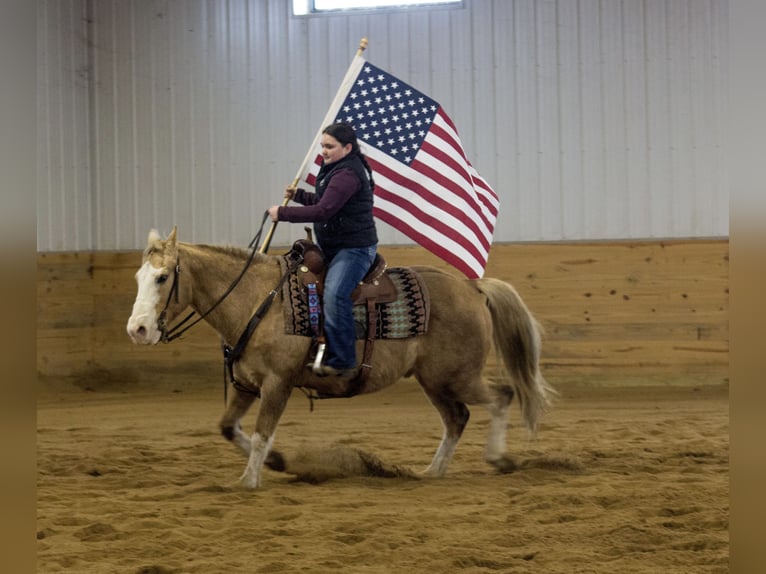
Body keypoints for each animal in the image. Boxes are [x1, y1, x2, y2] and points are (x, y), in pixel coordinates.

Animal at [129, 227, 556, 488]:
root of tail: (472, 286)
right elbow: (228, 428)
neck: (258, 300)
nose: (138, 329)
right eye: (138, 277)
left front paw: (249, 481)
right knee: (457, 418)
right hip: (434, 380)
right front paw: (277, 462)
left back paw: (498, 459)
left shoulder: (278, 383)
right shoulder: (248, 384)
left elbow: (263, 431)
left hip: (456, 376)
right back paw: (432, 471)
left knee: (501, 396)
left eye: (163, 277)